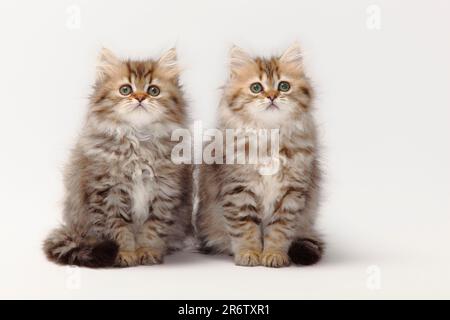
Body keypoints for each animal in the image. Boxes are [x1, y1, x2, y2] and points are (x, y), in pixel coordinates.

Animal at [44, 47, 193, 268]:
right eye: (125, 90)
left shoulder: (164, 191)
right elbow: (118, 229)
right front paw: (125, 254)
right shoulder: (108, 193)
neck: (138, 141)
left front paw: (148, 251)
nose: (140, 97)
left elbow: (153, 229)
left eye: (153, 91)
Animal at [196, 43, 324, 268]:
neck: (269, 135)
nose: (272, 96)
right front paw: (249, 254)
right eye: (256, 88)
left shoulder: (291, 193)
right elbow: (245, 228)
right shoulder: (238, 189)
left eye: (284, 86)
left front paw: (274, 255)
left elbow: (280, 231)